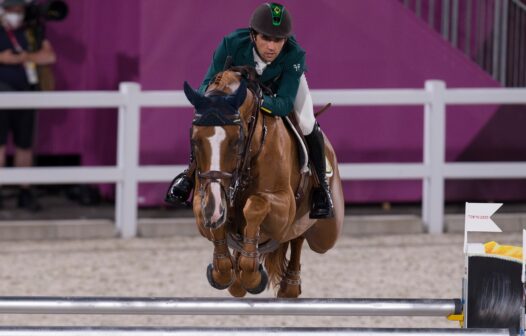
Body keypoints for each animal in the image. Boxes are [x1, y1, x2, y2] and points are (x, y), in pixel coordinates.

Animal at [183, 67, 346, 296]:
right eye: (195, 140)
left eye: (236, 140)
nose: (215, 209)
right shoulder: (204, 200)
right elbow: (212, 217)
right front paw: (223, 271)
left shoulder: (284, 205)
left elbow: (256, 205)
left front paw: (252, 276)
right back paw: (238, 278)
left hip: (325, 235)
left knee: (298, 237)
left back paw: (289, 285)